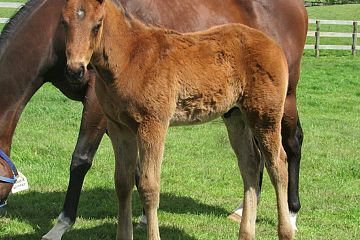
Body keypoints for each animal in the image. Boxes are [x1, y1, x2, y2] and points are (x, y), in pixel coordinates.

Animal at [0, 0, 308, 238]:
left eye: (98, 24)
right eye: (63, 24)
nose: (76, 70)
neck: (131, 55)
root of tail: (270, 41)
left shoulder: (149, 123)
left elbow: (140, 181)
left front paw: (60, 227)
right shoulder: (120, 126)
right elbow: (124, 181)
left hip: (269, 111)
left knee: (281, 158)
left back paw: (289, 224)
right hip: (236, 117)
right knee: (251, 164)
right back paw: (246, 230)